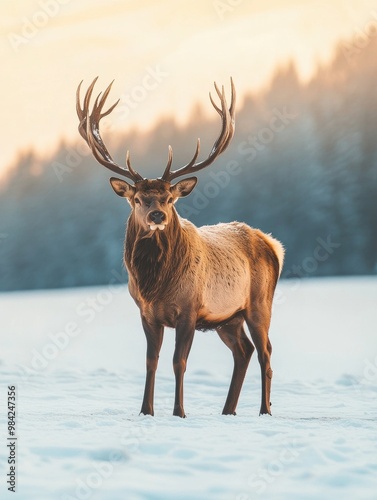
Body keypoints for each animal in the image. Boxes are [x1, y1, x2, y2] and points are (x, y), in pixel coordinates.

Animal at [75, 75, 282, 418]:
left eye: (170, 198)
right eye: (137, 199)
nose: (157, 215)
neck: (155, 284)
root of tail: (273, 244)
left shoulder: (189, 309)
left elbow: (179, 361)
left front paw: (179, 412)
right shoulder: (147, 313)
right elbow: (151, 361)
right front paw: (146, 410)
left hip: (259, 303)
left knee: (265, 351)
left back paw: (265, 410)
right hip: (228, 318)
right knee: (244, 350)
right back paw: (228, 410)